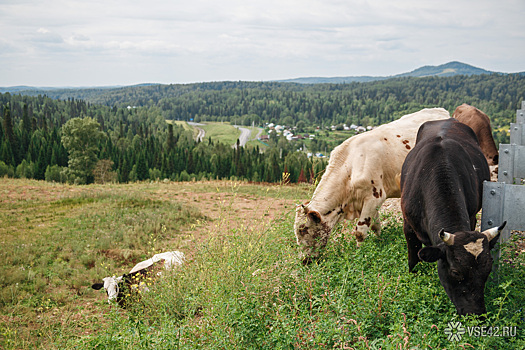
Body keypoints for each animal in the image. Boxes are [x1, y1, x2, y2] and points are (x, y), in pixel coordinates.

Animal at [294, 108, 450, 262]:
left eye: (304, 230)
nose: (304, 260)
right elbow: (376, 225)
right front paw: (380, 241)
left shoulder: (374, 196)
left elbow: (360, 231)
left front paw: (359, 252)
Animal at [402, 119, 504, 316]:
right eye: (456, 272)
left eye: (487, 270)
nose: (476, 314)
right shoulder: (408, 225)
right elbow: (413, 259)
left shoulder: (472, 216)